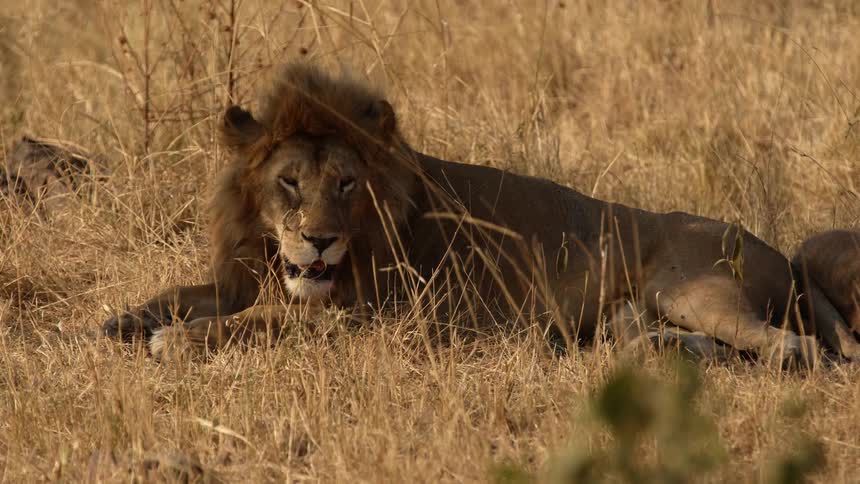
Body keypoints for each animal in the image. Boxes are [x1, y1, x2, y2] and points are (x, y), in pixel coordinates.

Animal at [102, 63, 860, 366]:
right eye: (288, 182)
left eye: (346, 184)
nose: (318, 242)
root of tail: (780, 252)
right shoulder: (245, 275)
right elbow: (185, 293)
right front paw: (120, 321)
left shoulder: (375, 316)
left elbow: (256, 320)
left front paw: (176, 341)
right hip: (643, 313)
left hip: (692, 287)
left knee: (794, 347)